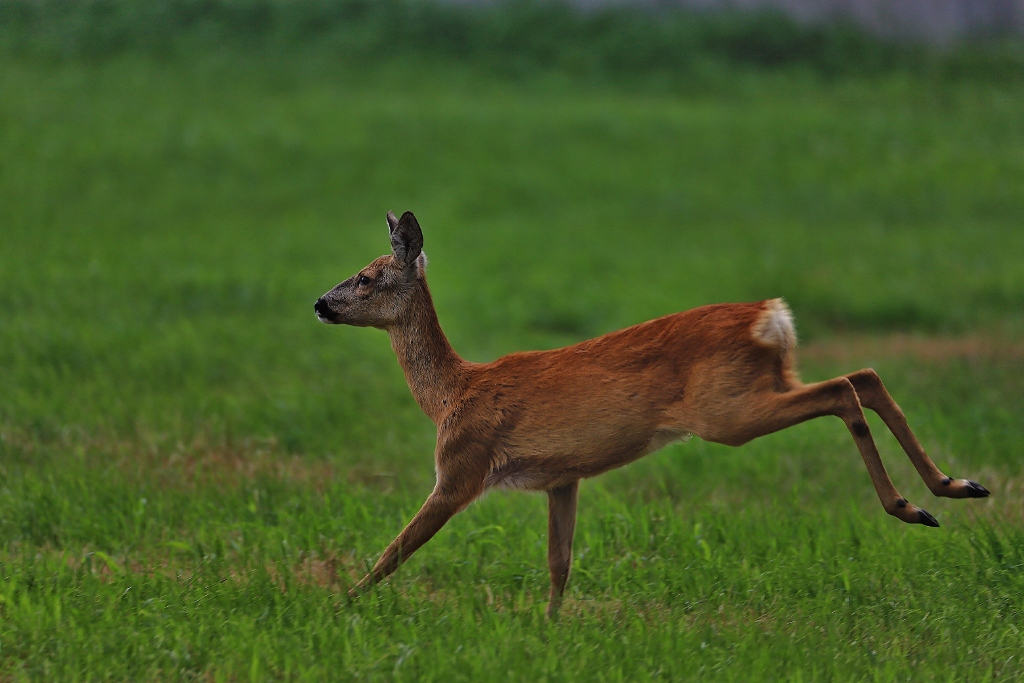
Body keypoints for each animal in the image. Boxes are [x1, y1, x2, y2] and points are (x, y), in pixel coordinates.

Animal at [313, 210, 991, 618]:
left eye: (368, 277)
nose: (320, 303)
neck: (451, 393)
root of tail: (770, 317)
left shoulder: (461, 466)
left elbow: (396, 548)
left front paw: (344, 604)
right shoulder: (562, 478)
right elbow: (559, 564)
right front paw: (549, 629)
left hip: (727, 411)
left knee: (844, 391)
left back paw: (910, 505)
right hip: (763, 386)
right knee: (866, 377)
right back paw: (954, 486)